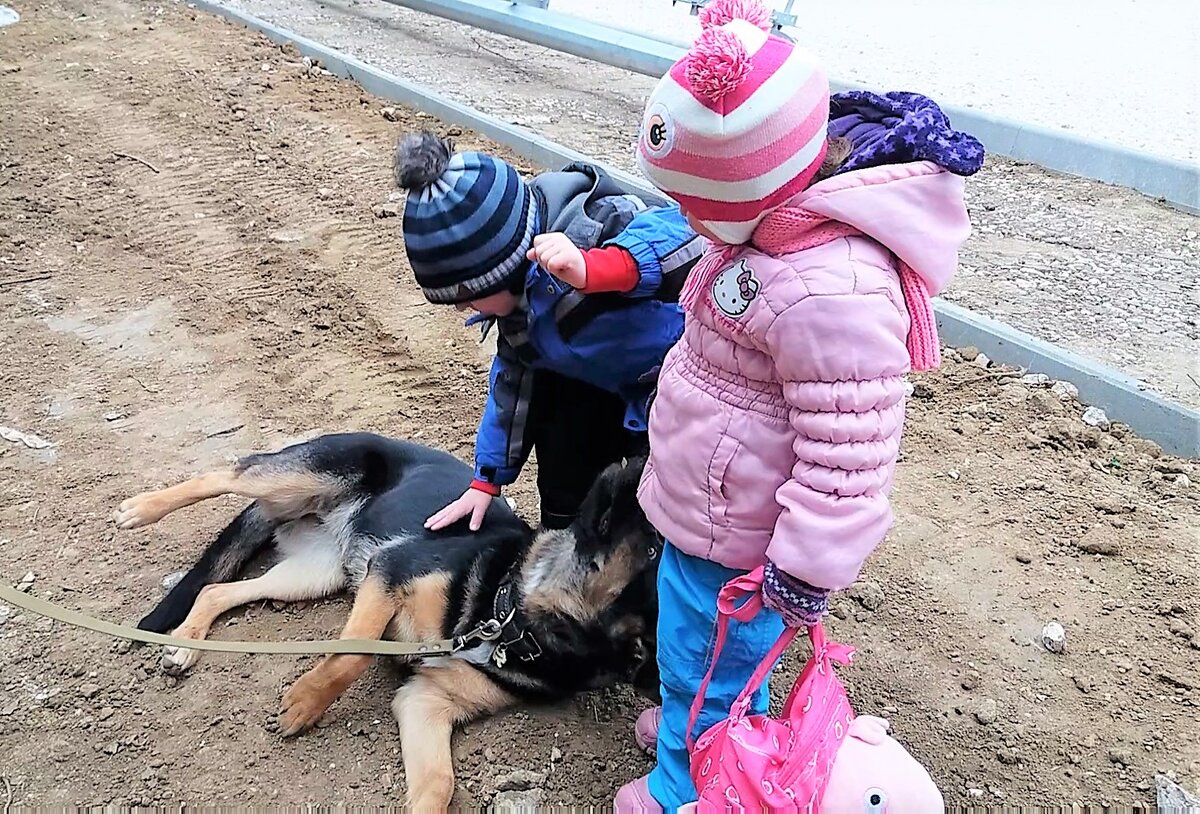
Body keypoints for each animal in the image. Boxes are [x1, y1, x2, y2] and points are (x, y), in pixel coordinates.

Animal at [115, 434, 662, 811]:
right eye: (658, 547)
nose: (638, 459)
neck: (507, 617)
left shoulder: (426, 702)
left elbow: (439, 784)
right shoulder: (388, 574)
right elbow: (353, 652)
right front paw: (304, 703)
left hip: (315, 573)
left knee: (216, 590)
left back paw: (186, 643)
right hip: (305, 479)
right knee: (227, 473)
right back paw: (140, 509)